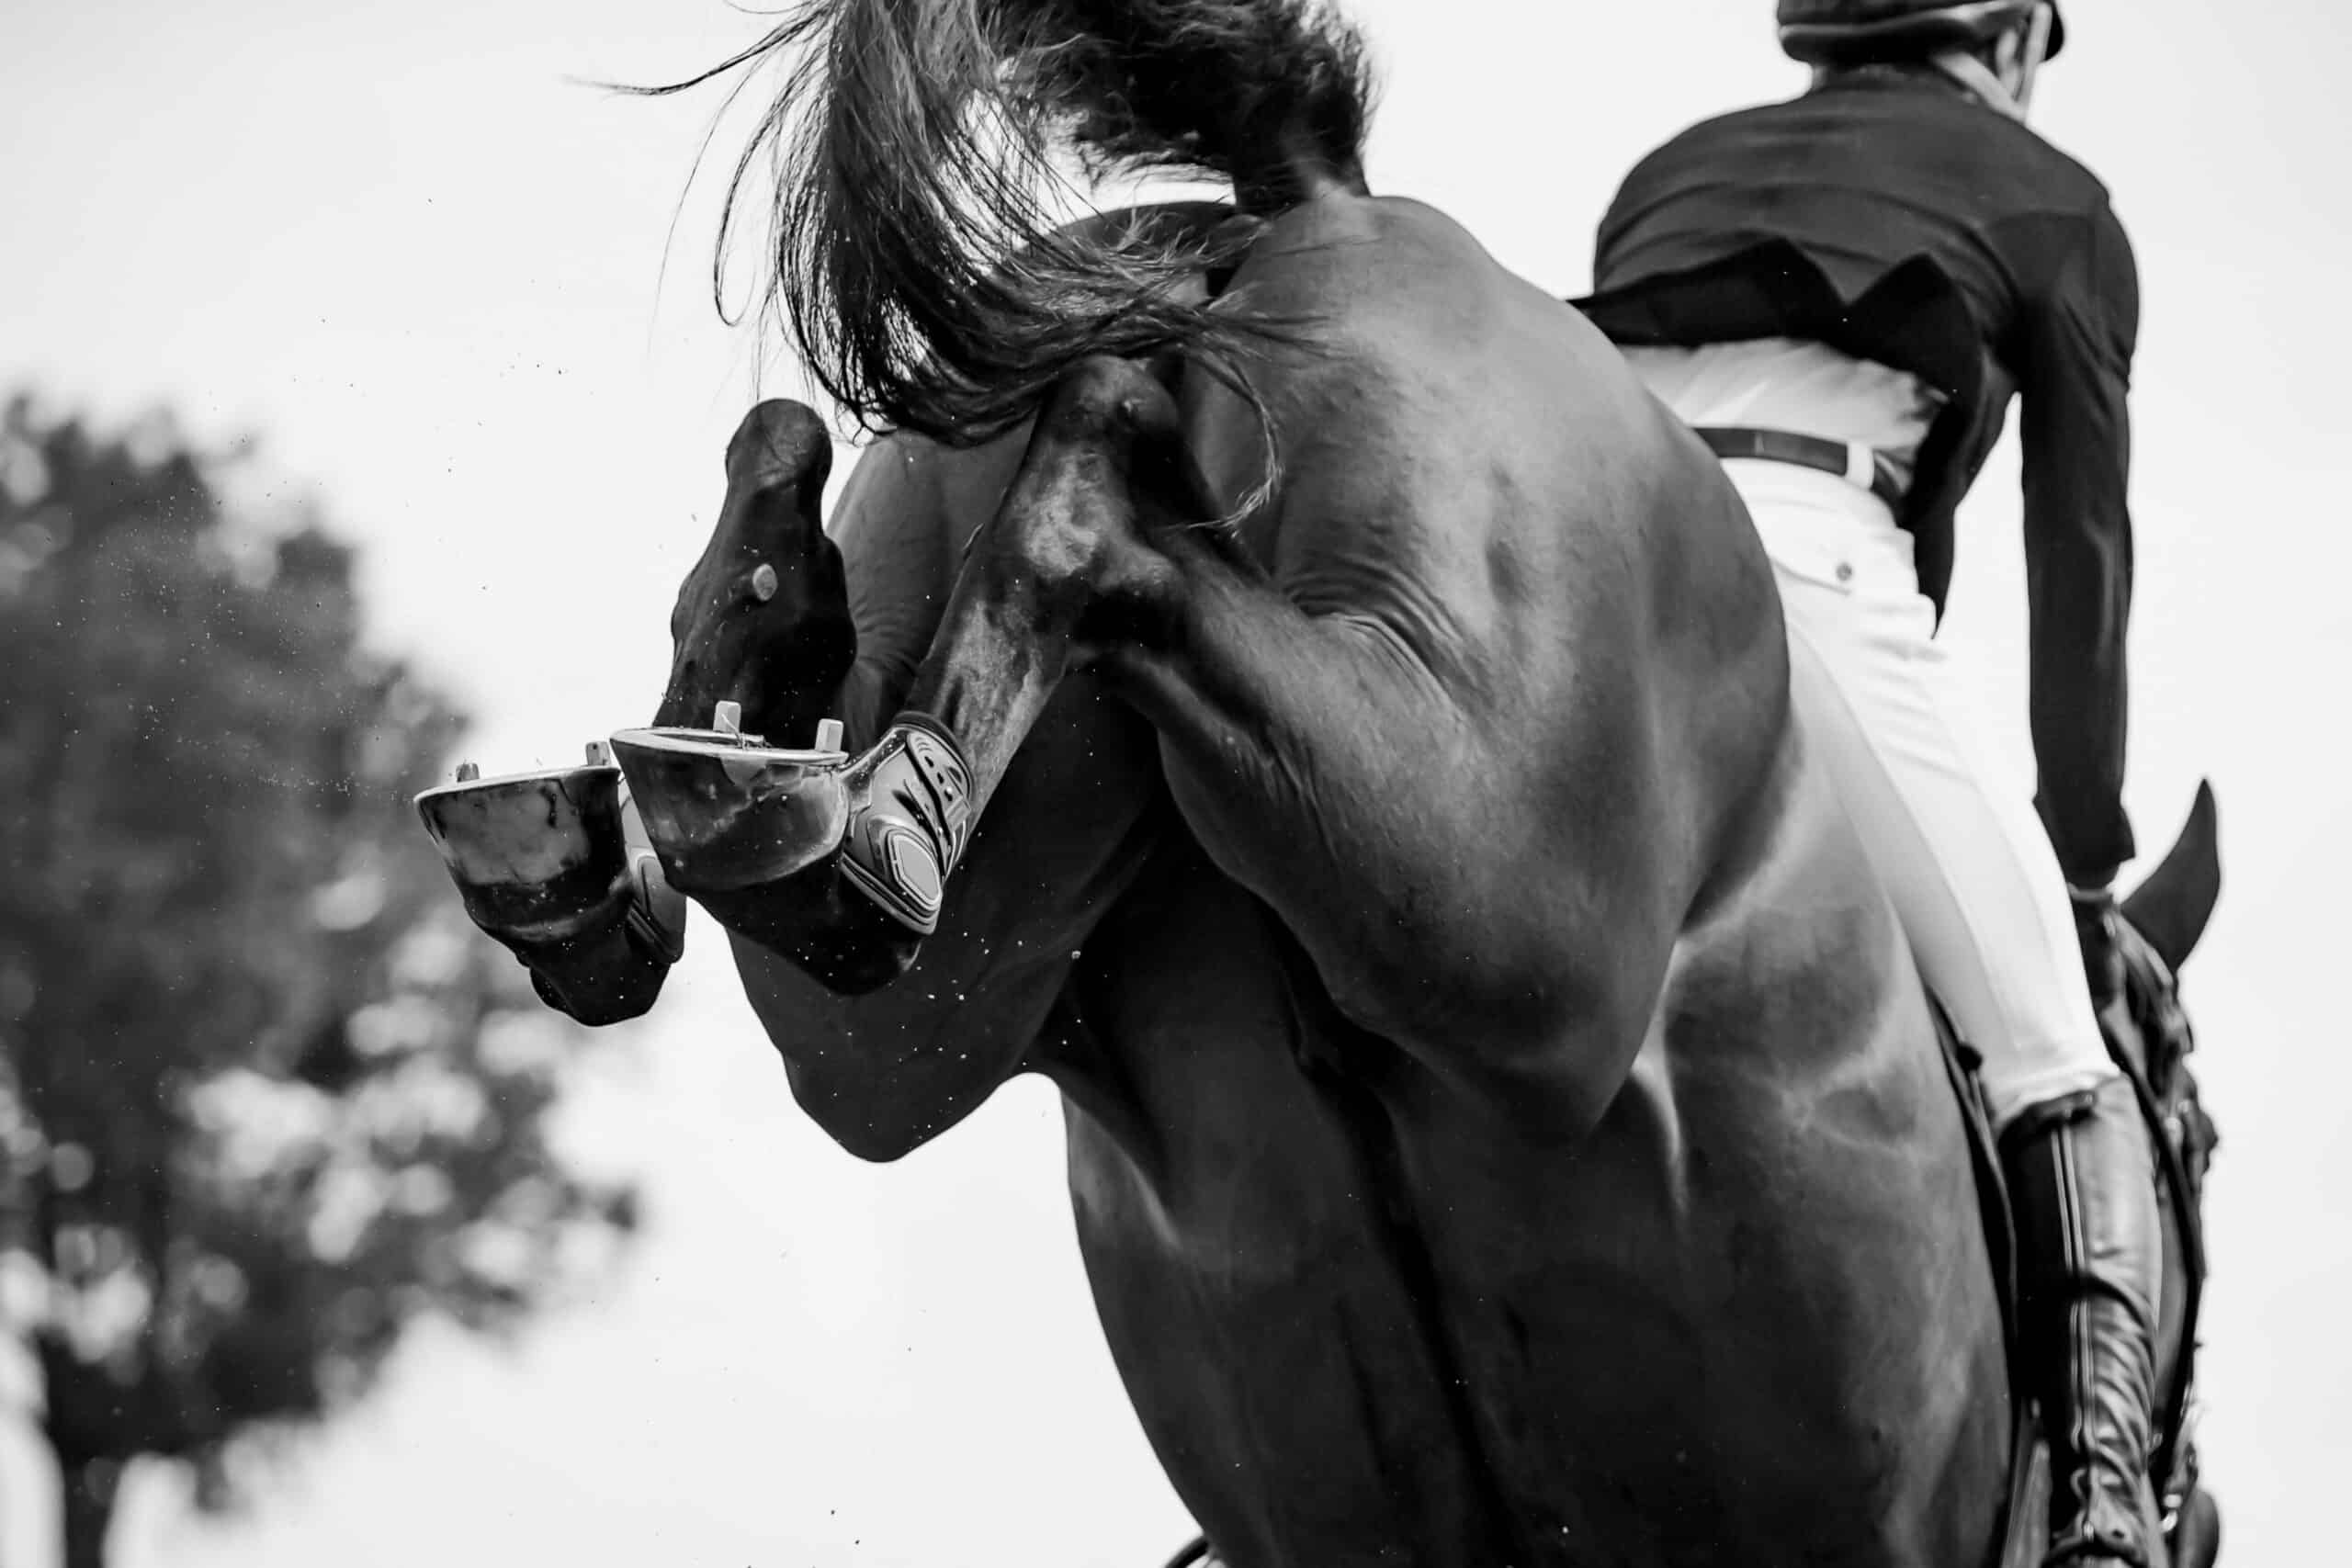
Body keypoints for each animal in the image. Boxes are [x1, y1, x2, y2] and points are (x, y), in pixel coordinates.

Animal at [454, 6, 2220, 1561]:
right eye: (2195, 1133)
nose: (2177, 1516)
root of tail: (1313, 205)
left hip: (939, 998)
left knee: (854, 939)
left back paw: (703, 790)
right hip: (1500, 905)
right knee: (1136, 543)